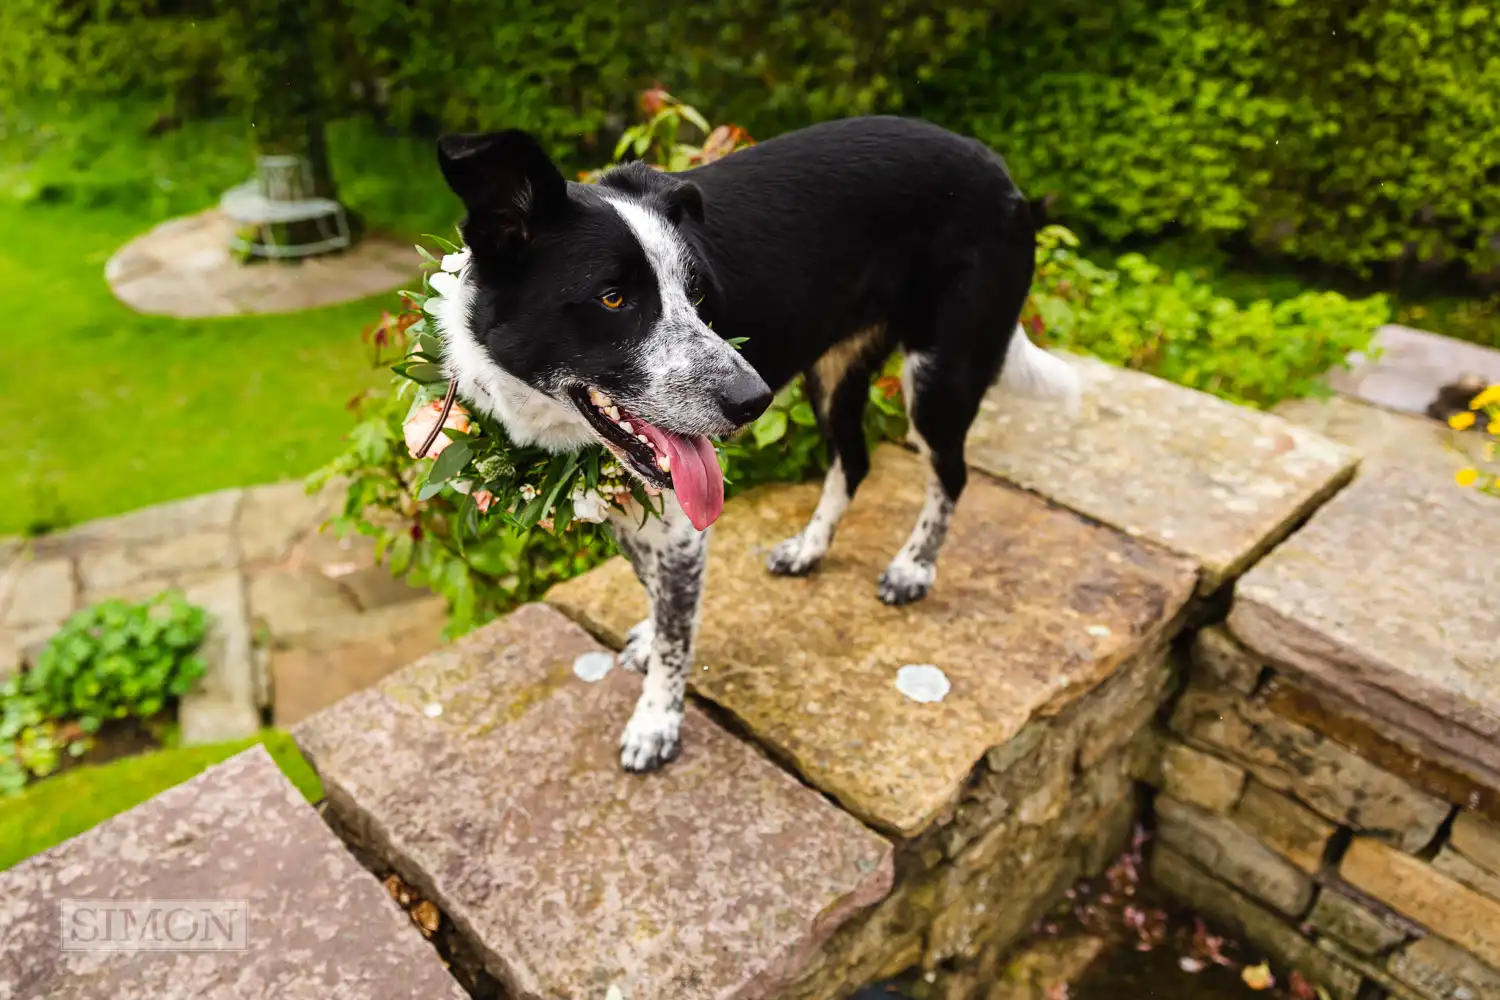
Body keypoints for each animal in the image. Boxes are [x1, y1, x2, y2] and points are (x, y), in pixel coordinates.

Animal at [432, 117, 1080, 773]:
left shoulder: (680, 522)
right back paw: (810, 548)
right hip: (836, 373)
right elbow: (651, 586)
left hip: (939, 374)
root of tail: (1000, 171)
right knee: (854, 460)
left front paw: (657, 721)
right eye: (612, 298)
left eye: (696, 294)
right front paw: (646, 639)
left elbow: (676, 632)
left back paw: (912, 568)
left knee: (949, 475)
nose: (755, 400)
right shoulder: (627, 497)